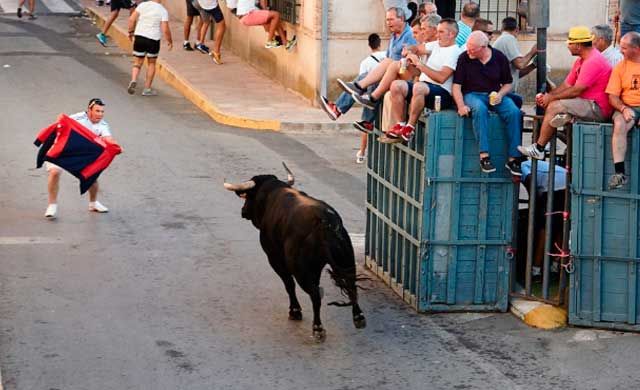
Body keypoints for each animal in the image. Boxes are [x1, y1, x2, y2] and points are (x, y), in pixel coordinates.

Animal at [224, 165, 364, 342]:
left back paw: (317, 328)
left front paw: (295, 311)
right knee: (351, 286)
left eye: (248, 196)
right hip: (346, 259)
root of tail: (323, 222)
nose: (243, 211)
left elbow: (288, 284)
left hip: (300, 269)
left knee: (315, 294)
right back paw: (358, 317)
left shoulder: (275, 258)